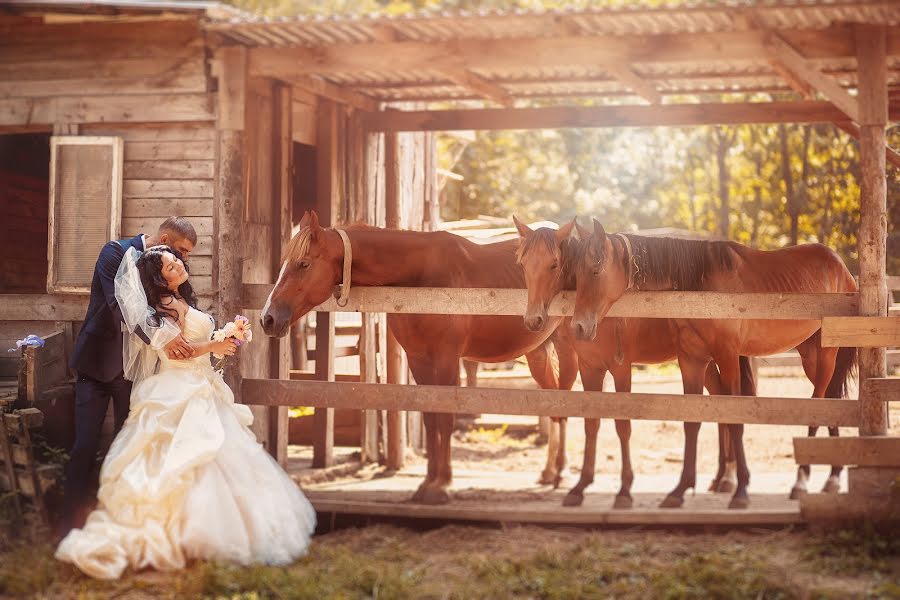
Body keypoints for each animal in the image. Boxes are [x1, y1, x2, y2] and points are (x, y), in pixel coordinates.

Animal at [264, 211, 580, 502]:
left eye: (304, 264)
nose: (268, 319)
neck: (420, 277)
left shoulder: (447, 359)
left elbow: (445, 418)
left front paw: (442, 485)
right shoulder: (419, 360)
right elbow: (430, 417)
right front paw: (428, 483)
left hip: (566, 350)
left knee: (565, 402)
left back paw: (561, 472)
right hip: (538, 353)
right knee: (553, 404)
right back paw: (549, 472)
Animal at [512, 218, 752, 508]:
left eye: (554, 264)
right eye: (523, 264)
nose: (533, 319)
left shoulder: (620, 368)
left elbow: (623, 425)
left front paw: (624, 490)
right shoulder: (590, 369)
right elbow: (591, 424)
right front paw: (580, 487)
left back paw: (728, 478)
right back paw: (720, 477)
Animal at [572, 220, 856, 510]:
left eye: (595, 270)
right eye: (576, 274)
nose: (579, 327)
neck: (702, 289)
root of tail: (840, 266)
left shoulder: (727, 357)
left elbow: (734, 420)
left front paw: (741, 491)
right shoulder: (691, 360)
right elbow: (692, 422)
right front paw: (679, 490)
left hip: (824, 356)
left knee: (818, 406)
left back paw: (801, 482)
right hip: (810, 358)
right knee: (829, 402)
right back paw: (832, 477)